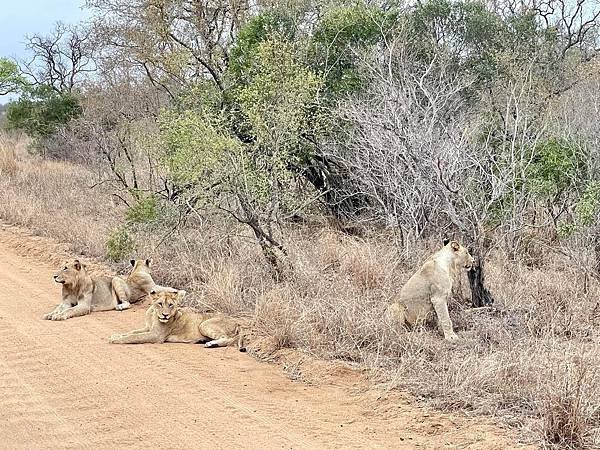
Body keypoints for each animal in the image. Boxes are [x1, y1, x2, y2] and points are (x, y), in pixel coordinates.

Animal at [43, 258, 176, 322]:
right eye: (62, 267)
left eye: (65, 268)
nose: (54, 276)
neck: (71, 286)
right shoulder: (66, 302)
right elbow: (59, 309)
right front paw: (50, 314)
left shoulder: (84, 306)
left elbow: (69, 310)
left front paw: (59, 316)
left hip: (116, 280)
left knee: (127, 303)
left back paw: (119, 306)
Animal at [108, 288, 246, 352]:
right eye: (160, 303)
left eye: (171, 305)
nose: (165, 315)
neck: (154, 315)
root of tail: (236, 322)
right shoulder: (148, 328)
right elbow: (131, 332)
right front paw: (116, 335)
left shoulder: (156, 335)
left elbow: (133, 337)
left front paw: (115, 340)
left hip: (204, 324)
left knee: (228, 339)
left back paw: (210, 344)